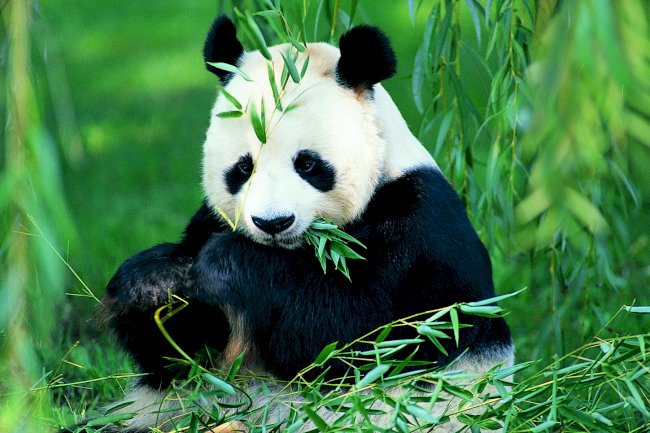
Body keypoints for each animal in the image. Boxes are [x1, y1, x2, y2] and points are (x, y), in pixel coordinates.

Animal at [82, 15, 513, 433]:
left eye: (307, 164)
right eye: (243, 168)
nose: (273, 223)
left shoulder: (420, 228)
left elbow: (356, 333)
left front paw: (226, 265)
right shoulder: (209, 220)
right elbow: (183, 356)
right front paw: (153, 282)